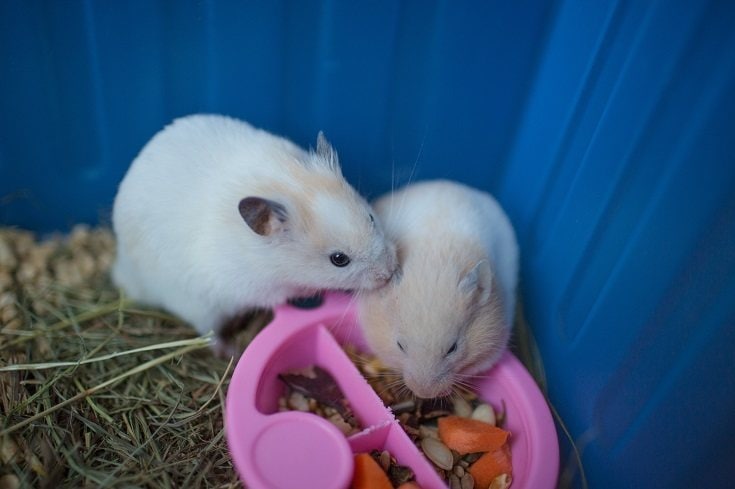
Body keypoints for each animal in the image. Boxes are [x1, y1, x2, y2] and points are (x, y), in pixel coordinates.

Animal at [112, 114, 397, 344]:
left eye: (371, 217)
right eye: (339, 259)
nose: (390, 272)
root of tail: (121, 265)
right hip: (196, 306)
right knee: (208, 335)